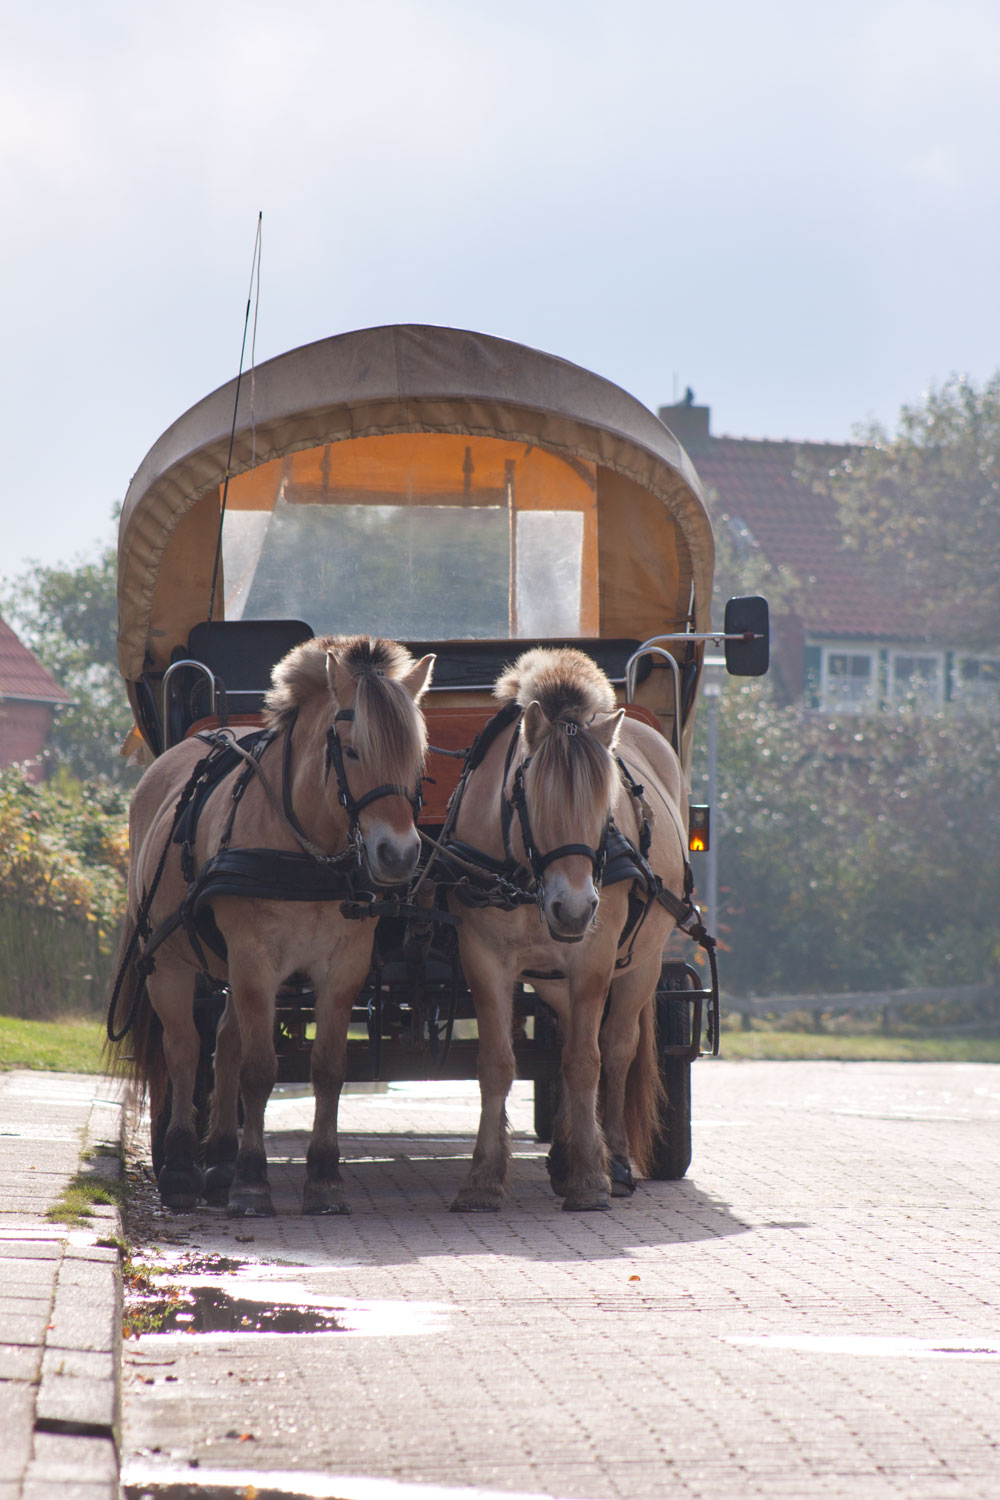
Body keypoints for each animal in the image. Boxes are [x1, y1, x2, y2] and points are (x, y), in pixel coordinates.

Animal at [110, 633, 434, 1218]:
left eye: (417, 755)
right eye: (353, 749)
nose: (398, 856)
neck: (307, 848)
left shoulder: (341, 969)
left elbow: (326, 1068)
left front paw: (324, 1179)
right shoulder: (255, 961)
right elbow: (260, 1070)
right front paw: (252, 1182)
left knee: (224, 1045)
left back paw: (218, 1162)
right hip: (169, 963)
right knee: (185, 1048)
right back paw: (184, 1168)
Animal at [440, 651, 692, 1212]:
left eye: (606, 807)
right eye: (530, 799)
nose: (574, 909)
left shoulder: (593, 959)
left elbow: (585, 1061)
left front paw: (590, 1180)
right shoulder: (483, 956)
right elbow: (498, 1064)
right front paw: (483, 1178)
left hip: (643, 962)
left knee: (616, 1049)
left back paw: (613, 1158)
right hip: (552, 975)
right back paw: (568, 1151)